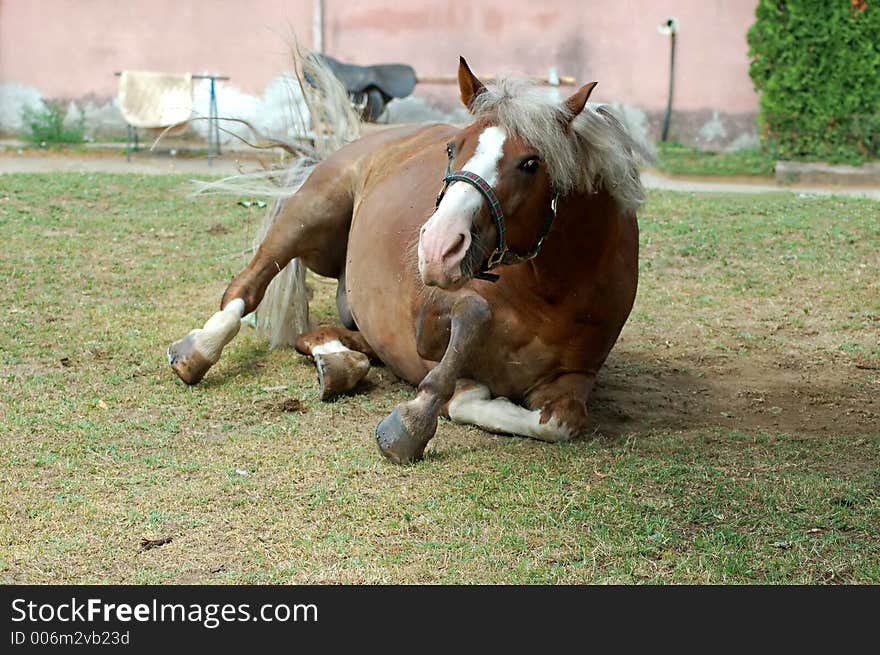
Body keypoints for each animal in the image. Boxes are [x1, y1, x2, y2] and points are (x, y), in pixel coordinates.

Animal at [168, 57, 648, 466]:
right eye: (453, 148)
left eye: (531, 163)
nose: (438, 248)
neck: (549, 293)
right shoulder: (430, 319)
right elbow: (472, 325)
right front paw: (414, 421)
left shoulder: (575, 378)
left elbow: (559, 423)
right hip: (309, 214)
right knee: (248, 285)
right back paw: (199, 349)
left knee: (318, 337)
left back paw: (338, 364)